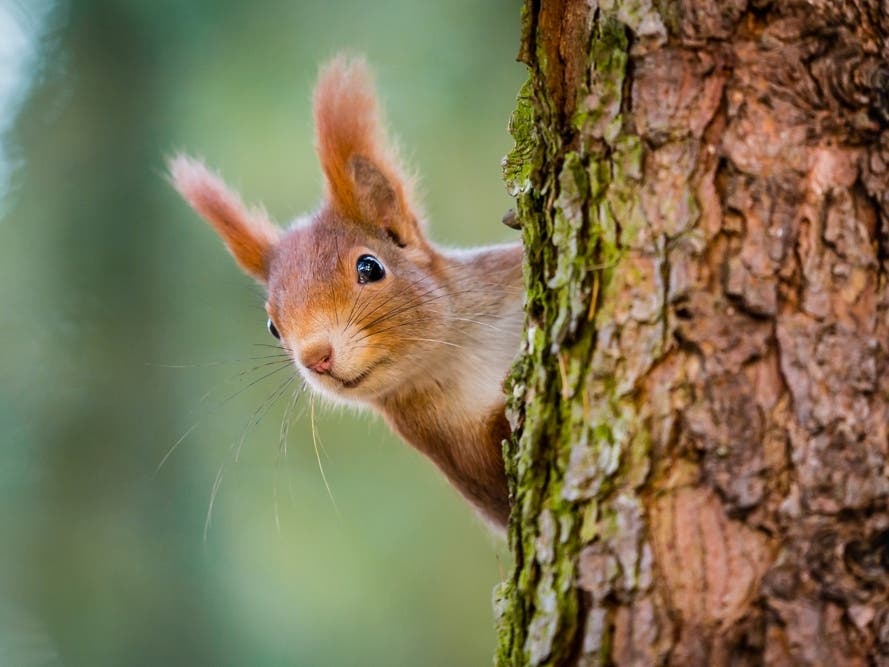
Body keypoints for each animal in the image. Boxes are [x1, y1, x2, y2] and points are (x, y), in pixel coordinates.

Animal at [170, 57, 524, 528]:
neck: (460, 352)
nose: (316, 357)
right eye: (272, 327)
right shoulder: (455, 450)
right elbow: (500, 484)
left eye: (369, 267)